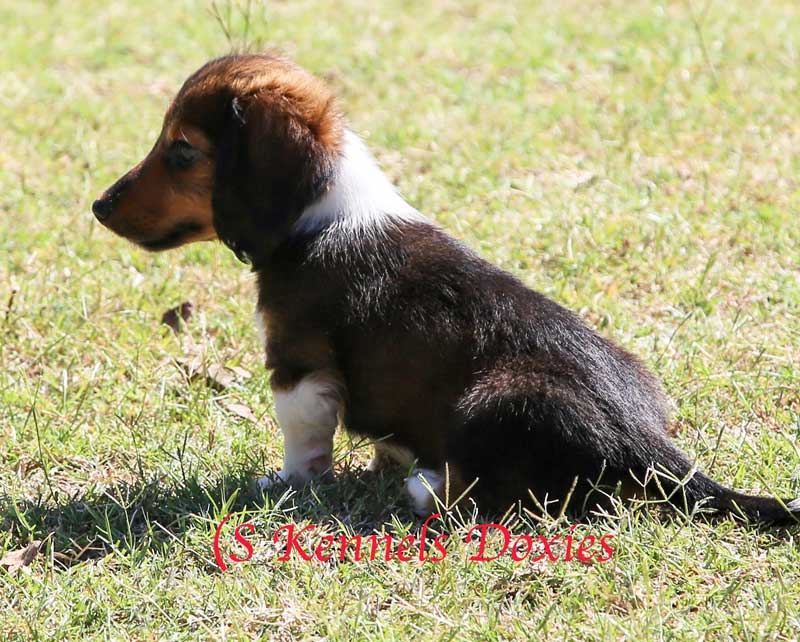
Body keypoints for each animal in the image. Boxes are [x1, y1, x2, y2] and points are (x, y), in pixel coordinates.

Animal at [90, 51, 796, 520]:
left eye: (182, 150)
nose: (98, 206)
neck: (322, 210)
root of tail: (647, 442)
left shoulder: (298, 365)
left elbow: (303, 440)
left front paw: (289, 484)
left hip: (498, 399)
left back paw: (427, 487)